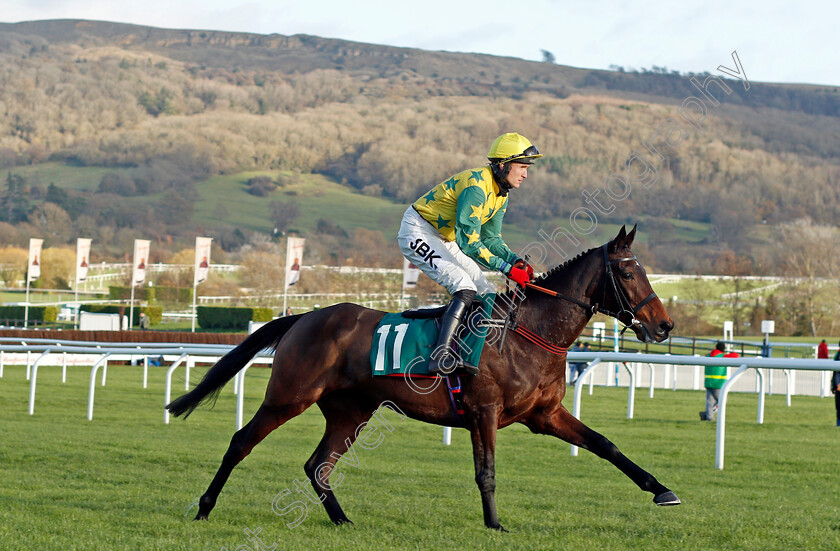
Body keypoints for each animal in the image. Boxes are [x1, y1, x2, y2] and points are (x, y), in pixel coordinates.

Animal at [167, 224, 680, 532]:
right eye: (629, 273)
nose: (663, 326)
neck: (528, 333)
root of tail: (304, 317)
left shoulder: (545, 415)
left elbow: (606, 445)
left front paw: (662, 491)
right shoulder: (484, 411)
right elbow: (486, 472)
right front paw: (495, 524)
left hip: (351, 411)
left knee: (318, 465)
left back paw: (342, 520)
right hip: (289, 396)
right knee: (241, 442)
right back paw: (204, 507)